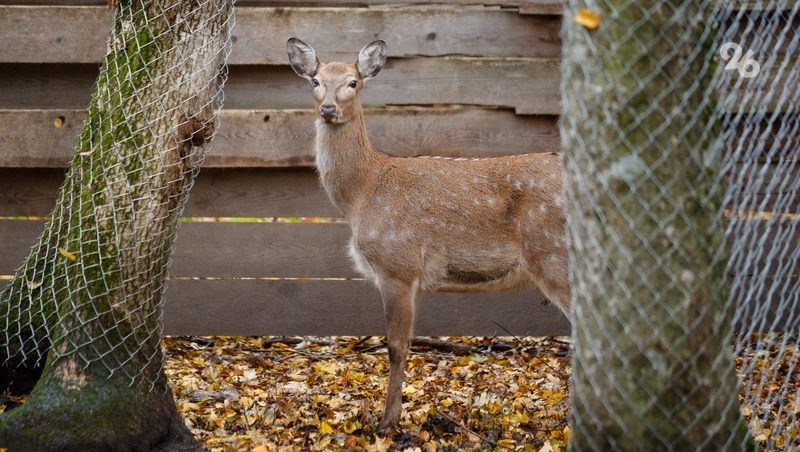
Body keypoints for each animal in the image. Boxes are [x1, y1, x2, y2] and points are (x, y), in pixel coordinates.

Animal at [286, 38, 568, 430]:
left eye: (353, 82)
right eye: (315, 80)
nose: (328, 108)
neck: (362, 193)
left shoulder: (397, 265)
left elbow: (396, 346)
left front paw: (387, 422)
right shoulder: (415, 278)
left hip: (554, 254)